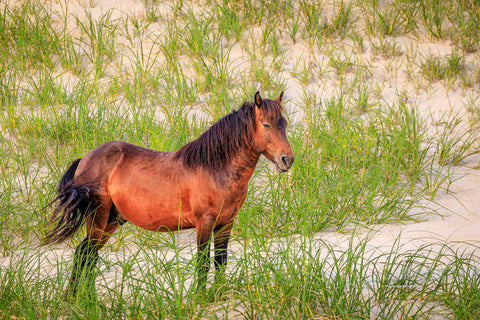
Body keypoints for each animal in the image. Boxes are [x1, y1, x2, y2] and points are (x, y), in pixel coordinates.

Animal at [44, 91, 292, 296]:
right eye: (266, 124)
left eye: (284, 124)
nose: (287, 160)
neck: (215, 168)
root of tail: (85, 159)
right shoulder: (204, 222)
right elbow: (203, 262)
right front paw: (200, 298)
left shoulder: (226, 223)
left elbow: (220, 261)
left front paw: (219, 295)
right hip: (98, 219)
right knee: (85, 253)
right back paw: (75, 298)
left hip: (111, 221)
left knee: (89, 255)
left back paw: (85, 299)